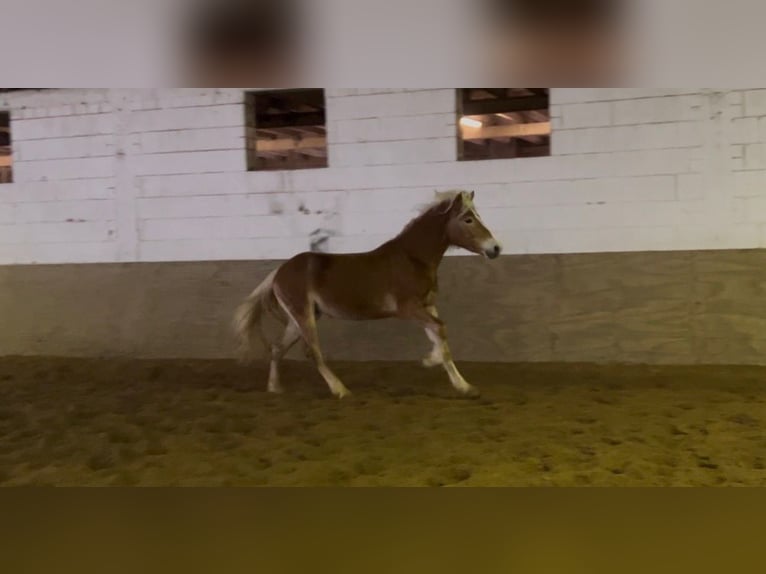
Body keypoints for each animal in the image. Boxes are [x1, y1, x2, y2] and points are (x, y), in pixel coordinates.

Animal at [233, 189, 502, 399]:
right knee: (313, 352)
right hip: (303, 316)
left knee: (278, 348)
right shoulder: (408, 308)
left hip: (298, 319)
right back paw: (340, 390)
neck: (412, 258)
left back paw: (274, 388)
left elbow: (438, 335)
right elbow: (440, 330)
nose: (495, 248)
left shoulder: (427, 306)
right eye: (468, 219)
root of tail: (279, 271)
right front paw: (441, 369)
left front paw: (457, 380)